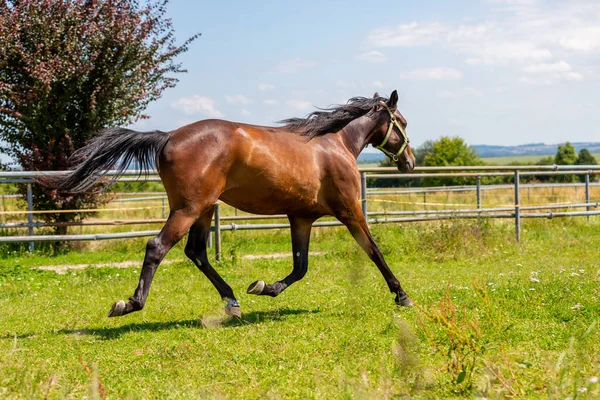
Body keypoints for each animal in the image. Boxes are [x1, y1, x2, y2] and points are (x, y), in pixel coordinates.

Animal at [47, 90, 414, 318]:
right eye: (404, 122)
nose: (409, 162)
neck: (335, 143)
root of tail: (167, 136)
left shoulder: (301, 218)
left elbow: (300, 267)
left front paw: (264, 287)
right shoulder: (350, 210)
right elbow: (374, 250)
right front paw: (402, 296)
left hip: (204, 208)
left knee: (196, 252)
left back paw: (232, 300)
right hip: (189, 208)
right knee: (157, 246)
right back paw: (131, 303)